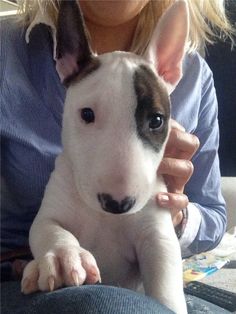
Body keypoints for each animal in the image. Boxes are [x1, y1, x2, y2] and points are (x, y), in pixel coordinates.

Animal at [21, 1, 188, 312]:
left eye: (157, 120)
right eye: (87, 114)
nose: (117, 204)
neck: (106, 218)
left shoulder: (157, 234)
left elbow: (165, 278)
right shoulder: (51, 210)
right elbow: (48, 228)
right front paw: (64, 257)